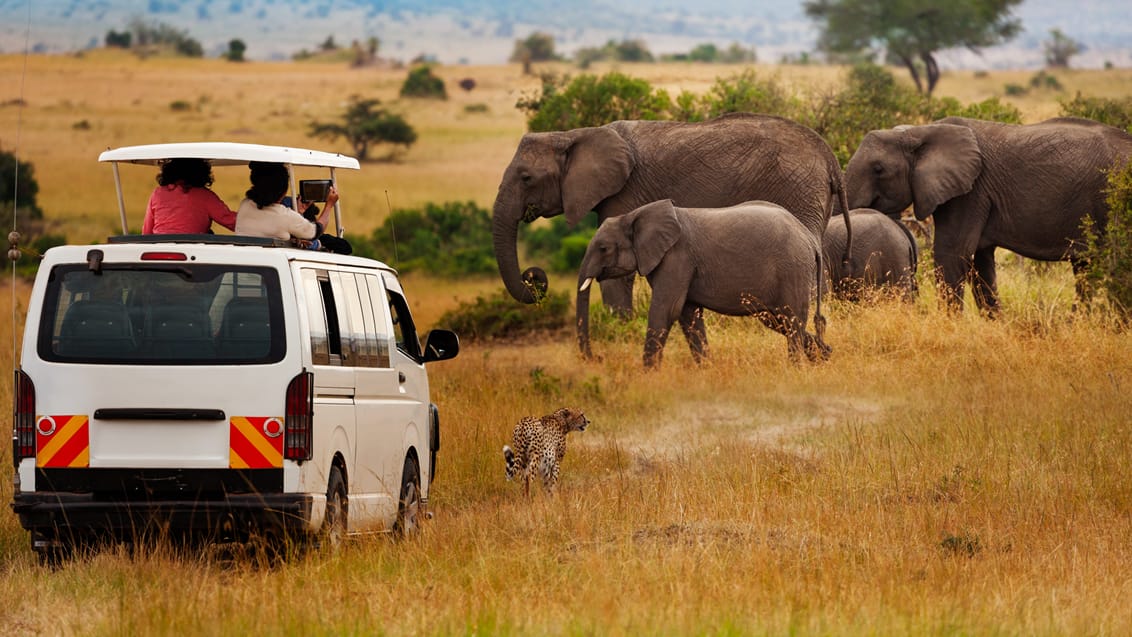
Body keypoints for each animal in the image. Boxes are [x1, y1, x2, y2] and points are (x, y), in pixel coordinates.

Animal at [486, 112, 851, 328]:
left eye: (526, 178)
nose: (534, 276)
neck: (574, 134)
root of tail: (830, 158)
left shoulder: (624, 193)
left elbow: (617, 275)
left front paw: (621, 330)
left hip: (797, 189)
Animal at [579, 199, 828, 368]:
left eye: (603, 248)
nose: (597, 357)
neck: (635, 214)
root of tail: (810, 239)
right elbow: (688, 315)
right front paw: (705, 369)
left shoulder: (676, 257)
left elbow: (666, 310)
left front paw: (648, 375)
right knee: (779, 320)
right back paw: (825, 356)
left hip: (792, 269)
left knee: (791, 319)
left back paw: (796, 367)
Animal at [851, 117, 1132, 316]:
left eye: (878, 169)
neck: (919, 131)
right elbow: (980, 262)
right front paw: (998, 325)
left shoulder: (970, 192)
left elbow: (951, 254)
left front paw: (949, 326)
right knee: (1085, 268)